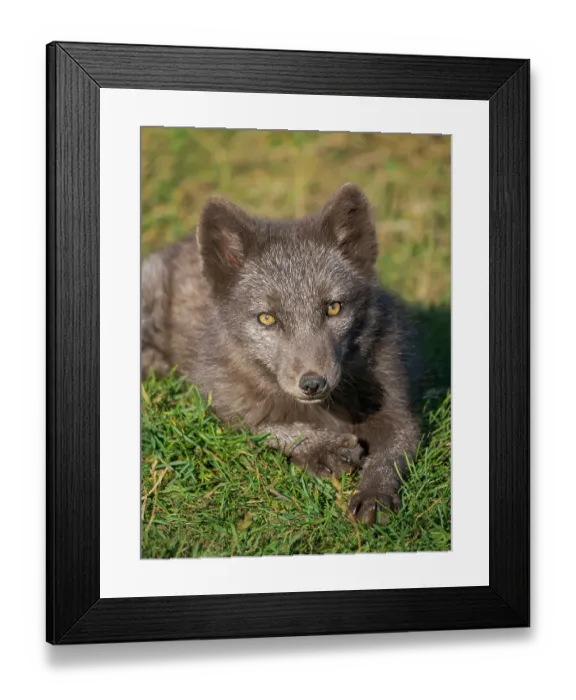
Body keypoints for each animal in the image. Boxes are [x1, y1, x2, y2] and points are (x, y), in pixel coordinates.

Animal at [141, 183, 421, 525]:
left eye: (334, 308)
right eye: (267, 318)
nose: (313, 383)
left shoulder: (398, 411)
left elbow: (391, 452)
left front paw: (374, 495)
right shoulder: (218, 402)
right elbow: (265, 427)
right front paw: (323, 448)